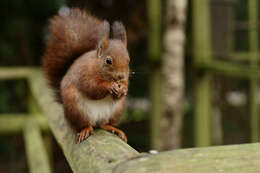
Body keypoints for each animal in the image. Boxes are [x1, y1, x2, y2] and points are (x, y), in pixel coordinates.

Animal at [42, 8, 130, 143]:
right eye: (108, 61)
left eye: (128, 60)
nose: (120, 76)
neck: (97, 67)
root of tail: (96, 119)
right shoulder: (84, 74)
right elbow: (92, 88)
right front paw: (109, 86)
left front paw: (123, 89)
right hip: (75, 107)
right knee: (84, 124)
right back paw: (85, 129)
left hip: (116, 111)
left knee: (104, 124)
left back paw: (113, 128)